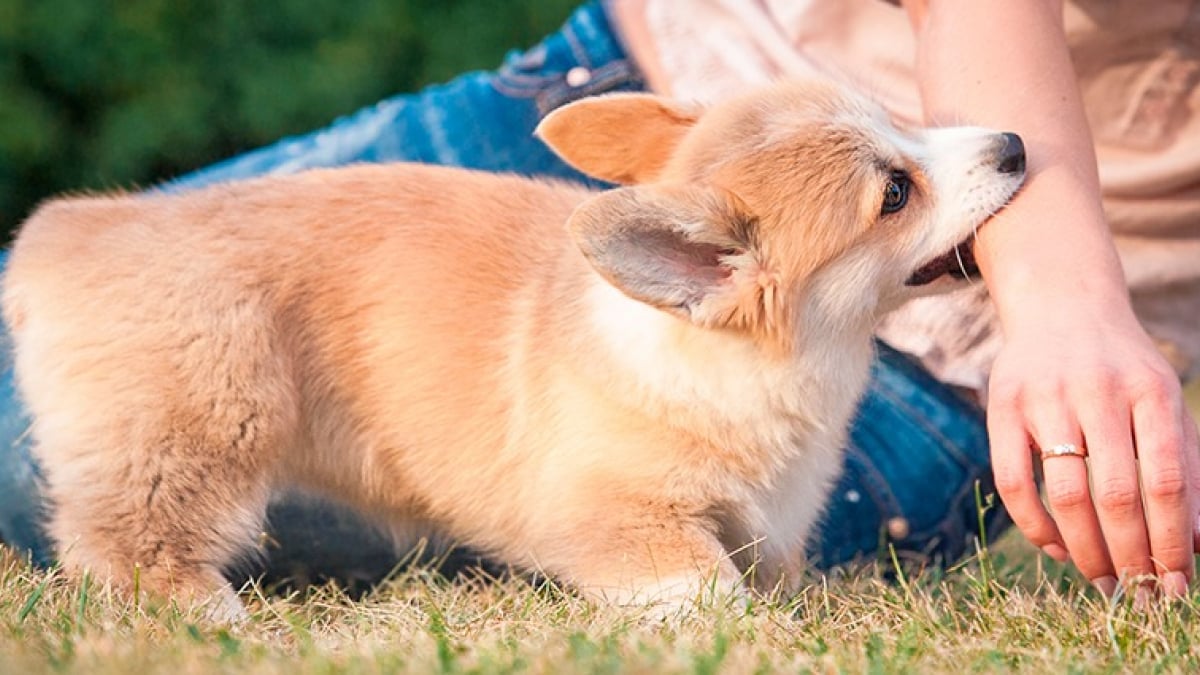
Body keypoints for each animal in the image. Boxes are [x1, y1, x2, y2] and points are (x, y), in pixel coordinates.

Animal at [4, 77, 1027, 614]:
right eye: (894, 193)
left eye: (903, 118)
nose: (1017, 144)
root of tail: (64, 234)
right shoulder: (614, 515)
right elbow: (709, 587)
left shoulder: (772, 521)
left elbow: (770, 571)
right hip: (202, 428)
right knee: (125, 543)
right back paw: (218, 618)